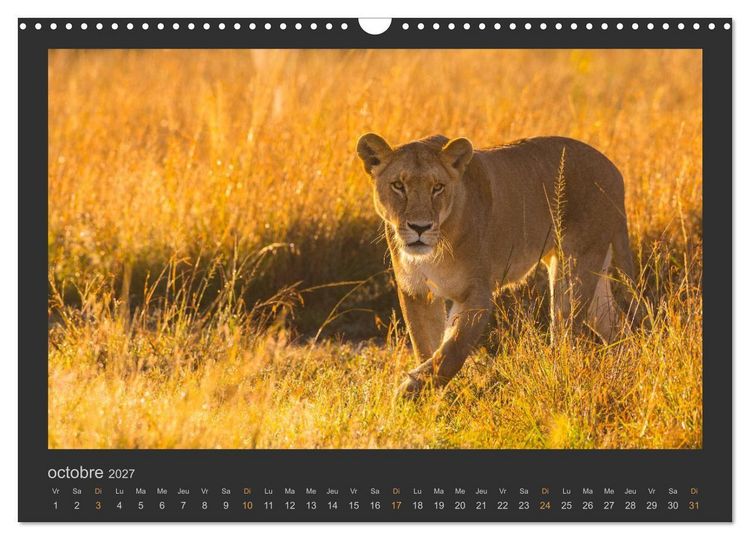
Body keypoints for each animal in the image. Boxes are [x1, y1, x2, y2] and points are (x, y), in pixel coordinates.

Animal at [356, 133, 640, 398]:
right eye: (398, 185)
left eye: (438, 187)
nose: (420, 227)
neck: (435, 249)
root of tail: (614, 170)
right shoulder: (416, 292)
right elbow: (426, 345)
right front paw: (432, 397)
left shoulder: (477, 294)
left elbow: (451, 351)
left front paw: (409, 391)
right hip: (592, 270)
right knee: (617, 325)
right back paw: (624, 370)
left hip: (573, 269)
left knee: (565, 336)